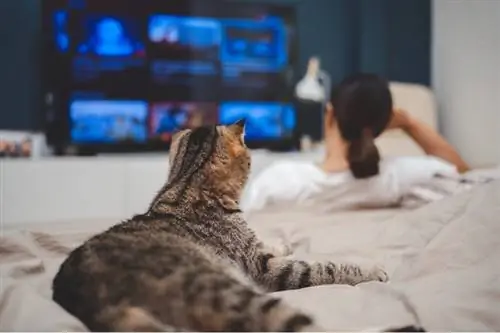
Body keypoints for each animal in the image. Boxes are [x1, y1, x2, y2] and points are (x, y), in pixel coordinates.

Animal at [52, 120, 392, 330]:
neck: (184, 184)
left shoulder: (256, 250)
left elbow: (271, 245)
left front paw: (282, 243)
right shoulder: (264, 269)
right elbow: (327, 268)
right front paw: (371, 270)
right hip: (230, 291)